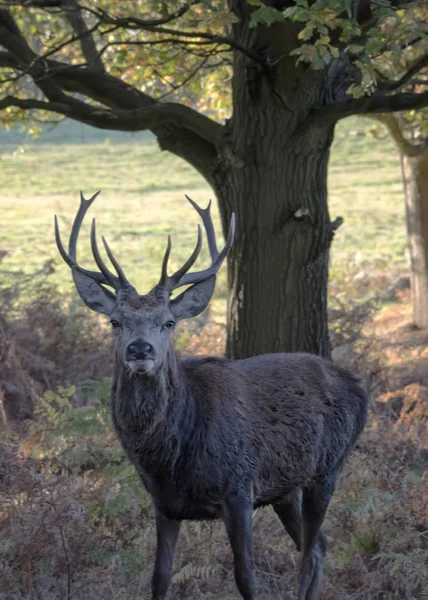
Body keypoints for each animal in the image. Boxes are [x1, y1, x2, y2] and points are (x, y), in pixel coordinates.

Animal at [53, 193, 368, 600]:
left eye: (169, 322)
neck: (171, 457)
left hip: (328, 467)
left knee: (309, 553)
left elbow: (245, 575)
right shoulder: (164, 503)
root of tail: (358, 388)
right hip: (286, 488)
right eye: (115, 321)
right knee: (320, 546)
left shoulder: (239, 486)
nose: (140, 349)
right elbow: (159, 576)